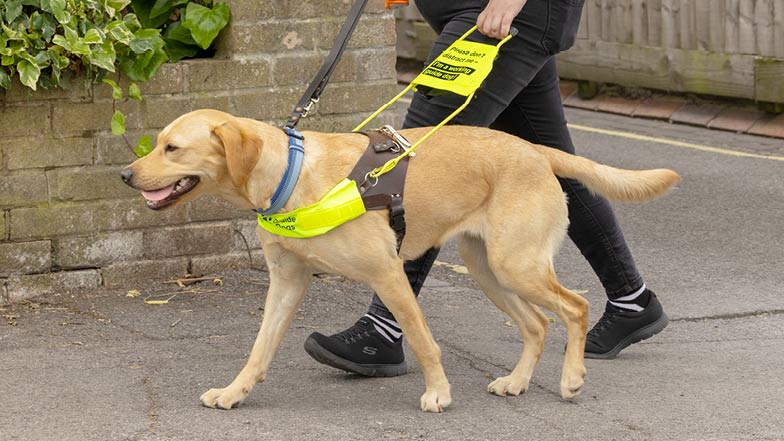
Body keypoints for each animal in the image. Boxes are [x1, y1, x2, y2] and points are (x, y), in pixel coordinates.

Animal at [121, 109, 679, 412]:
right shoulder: (287, 282)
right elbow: (259, 350)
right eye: (159, 143)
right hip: (488, 269)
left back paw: (571, 378)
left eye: (173, 148)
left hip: (516, 265)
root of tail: (536, 150)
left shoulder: (389, 274)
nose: (125, 175)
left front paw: (440, 394)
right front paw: (235, 392)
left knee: (576, 308)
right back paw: (518, 381)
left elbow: (424, 342)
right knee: (539, 324)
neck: (292, 175)